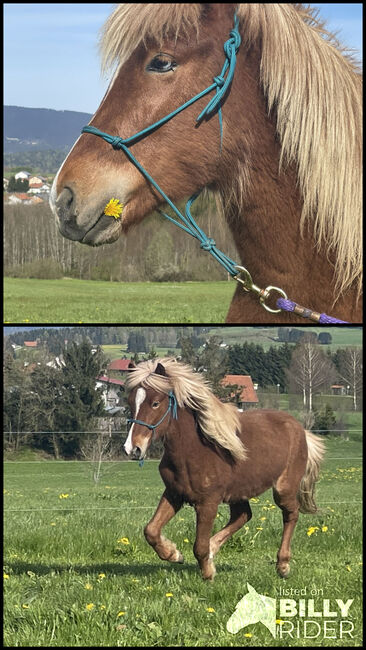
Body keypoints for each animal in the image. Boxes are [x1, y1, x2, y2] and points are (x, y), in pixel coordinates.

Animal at [124, 360, 324, 576]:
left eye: (155, 403)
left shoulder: (208, 502)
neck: (195, 450)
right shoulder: (174, 493)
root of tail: (301, 429)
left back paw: (283, 565)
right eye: (131, 402)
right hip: (239, 492)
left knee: (291, 514)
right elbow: (151, 530)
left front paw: (208, 572)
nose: (133, 448)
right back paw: (215, 549)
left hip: (284, 489)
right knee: (243, 515)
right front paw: (174, 554)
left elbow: (199, 546)